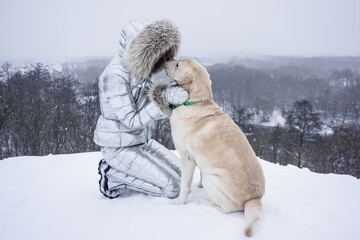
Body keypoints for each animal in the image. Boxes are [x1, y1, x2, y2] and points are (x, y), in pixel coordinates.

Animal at [151, 59, 264, 237]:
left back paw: (204, 202)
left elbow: (184, 184)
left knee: (225, 208)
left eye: (178, 65)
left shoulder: (187, 157)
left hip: (213, 179)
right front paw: (198, 185)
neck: (196, 101)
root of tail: (255, 198)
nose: (166, 60)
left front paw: (178, 202)